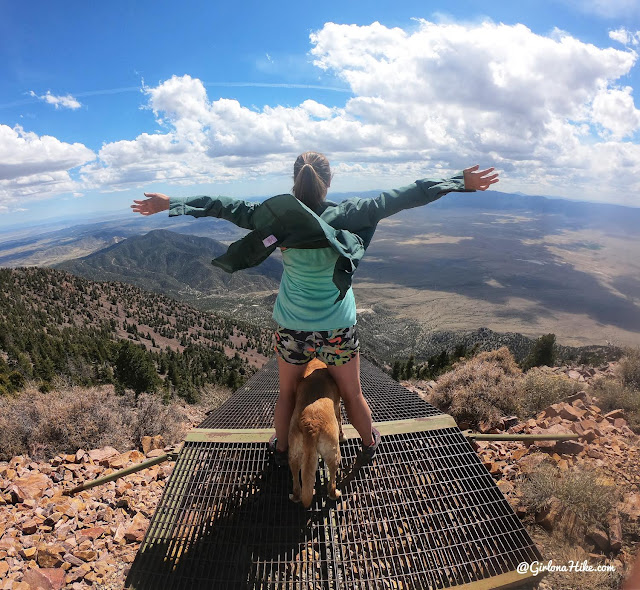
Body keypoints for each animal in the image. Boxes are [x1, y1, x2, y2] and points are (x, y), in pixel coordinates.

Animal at [288, 358, 342, 512]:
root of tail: (310, 425)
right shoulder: (338, 406)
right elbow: (340, 420)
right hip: (334, 453)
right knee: (332, 480)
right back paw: (335, 494)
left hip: (294, 453)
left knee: (296, 482)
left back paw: (296, 496)